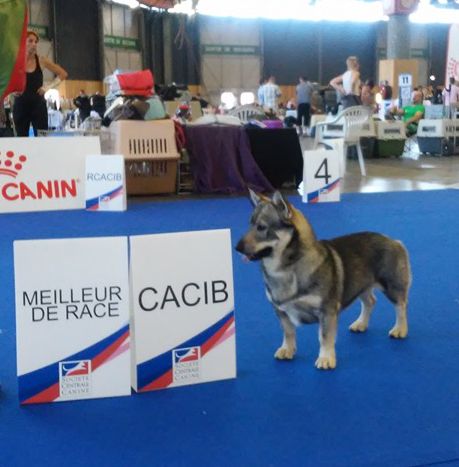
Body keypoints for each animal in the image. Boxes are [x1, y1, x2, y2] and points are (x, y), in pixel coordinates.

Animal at [235, 192, 412, 372]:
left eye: (261, 227)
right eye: (249, 225)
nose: (237, 247)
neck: (286, 269)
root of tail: (394, 241)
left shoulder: (327, 312)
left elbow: (325, 337)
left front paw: (326, 358)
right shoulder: (280, 311)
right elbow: (288, 332)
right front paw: (287, 349)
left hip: (391, 287)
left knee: (401, 306)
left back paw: (400, 329)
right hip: (360, 285)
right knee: (370, 302)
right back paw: (361, 324)